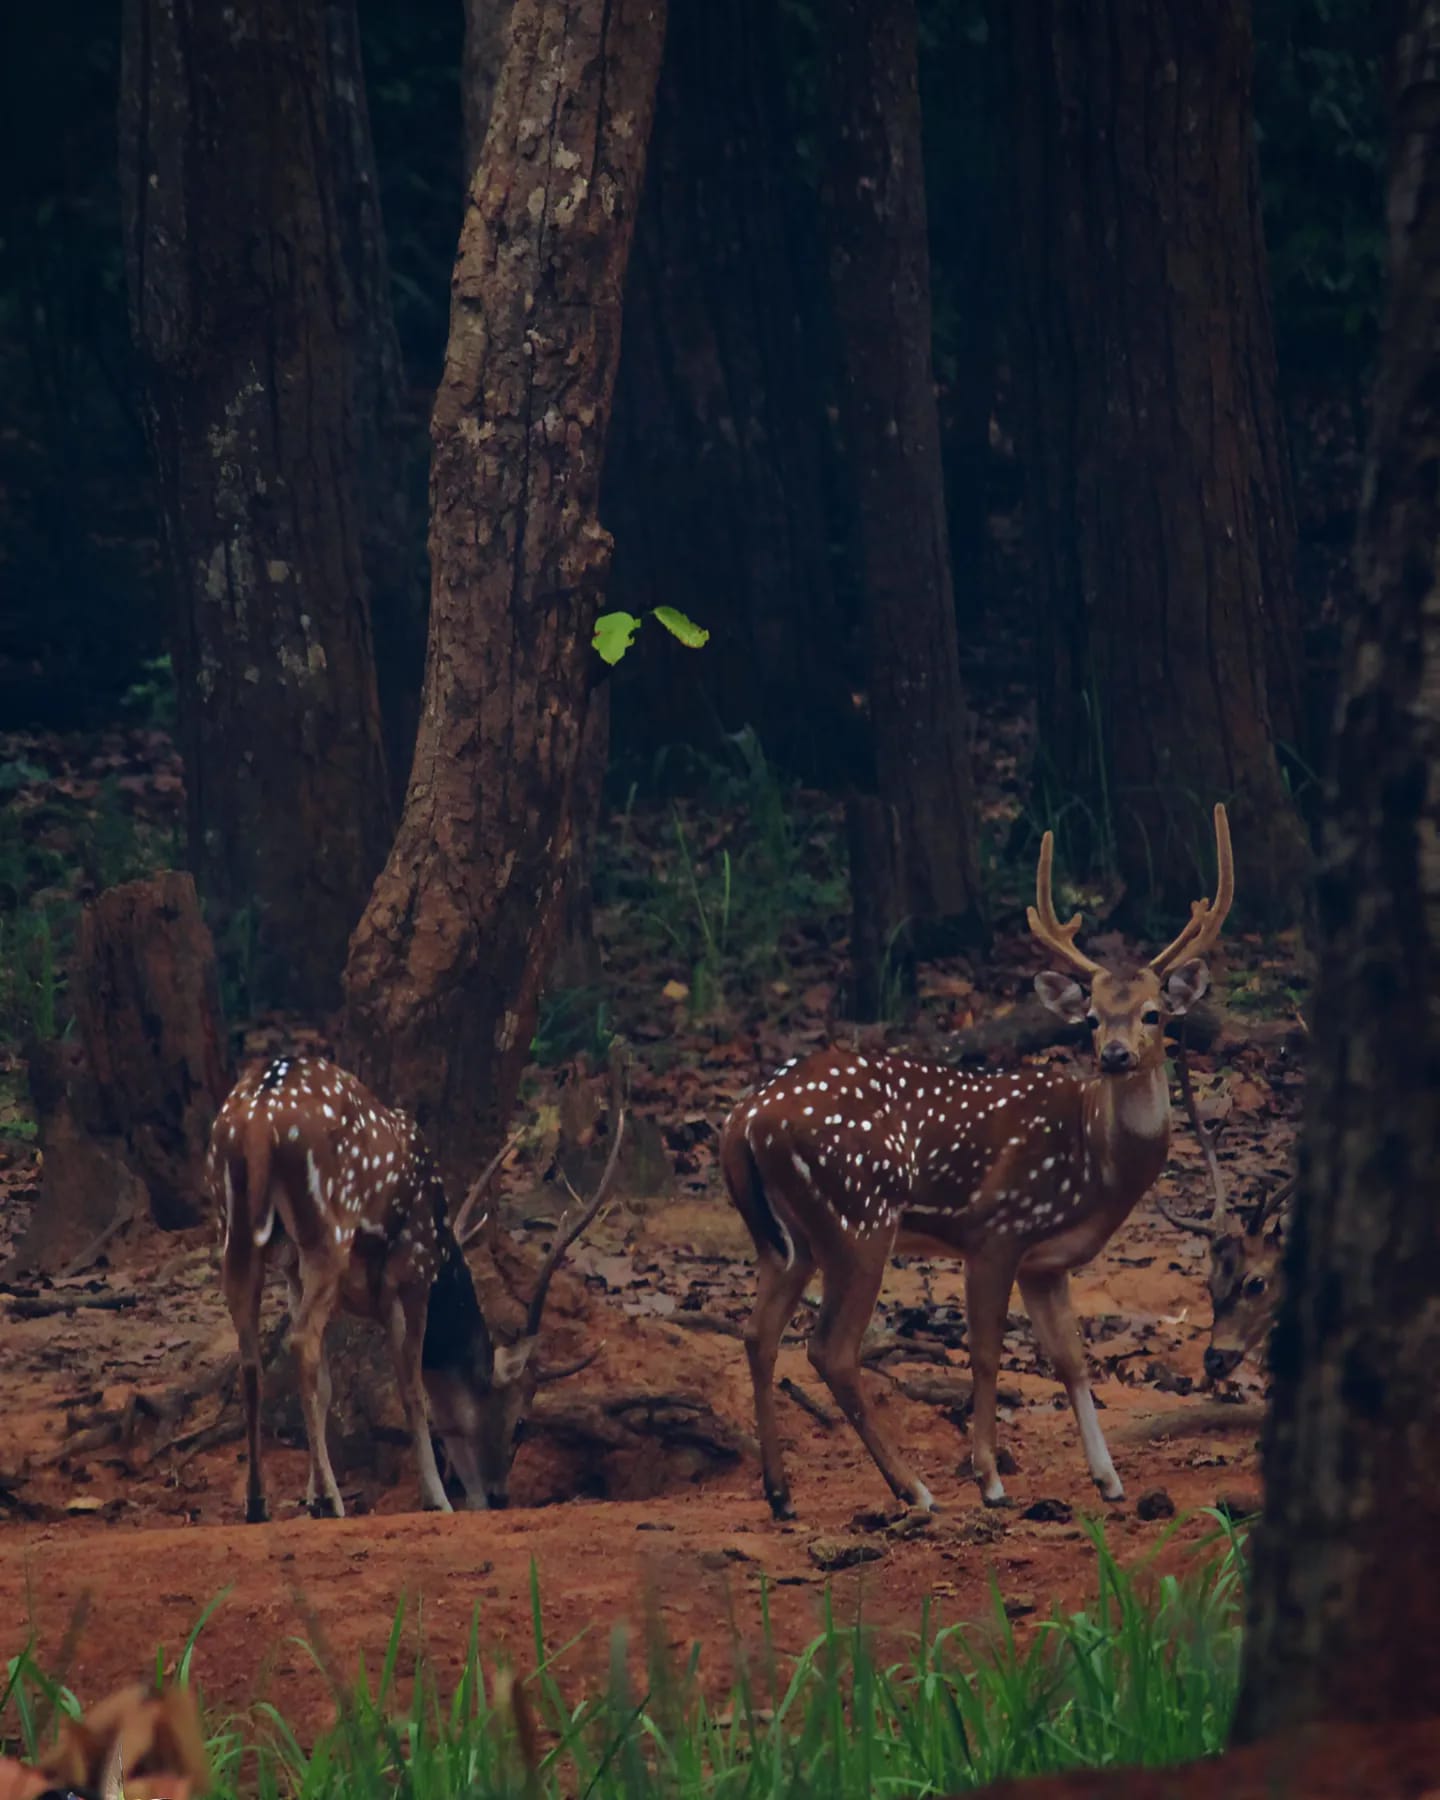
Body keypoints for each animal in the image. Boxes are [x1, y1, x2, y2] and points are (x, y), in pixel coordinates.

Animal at [207, 1051, 619, 1519]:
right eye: (520, 1423)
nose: (498, 1495)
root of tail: (259, 1120)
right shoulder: (413, 1273)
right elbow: (412, 1388)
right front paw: (436, 1498)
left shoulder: (300, 1276)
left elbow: (329, 1386)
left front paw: (310, 1491)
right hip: (327, 1232)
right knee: (301, 1341)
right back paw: (332, 1501)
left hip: (233, 1226)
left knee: (251, 1359)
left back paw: (258, 1501)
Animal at [727, 810, 1231, 1512]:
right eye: (1091, 1018)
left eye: (1153, 1013)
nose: (1115, 1054)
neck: (1096, 1163)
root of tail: (743, 1119)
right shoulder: (997, 1227)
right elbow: (987, 1351)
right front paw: (990, 1478)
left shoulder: (1046, 1261)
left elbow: (1071, 1358)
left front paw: (1109, 1479)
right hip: (858, 1215)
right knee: (830, 1349)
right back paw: (913, 1488)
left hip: (787, 1238)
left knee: (758, 1333)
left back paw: (781, 1493)